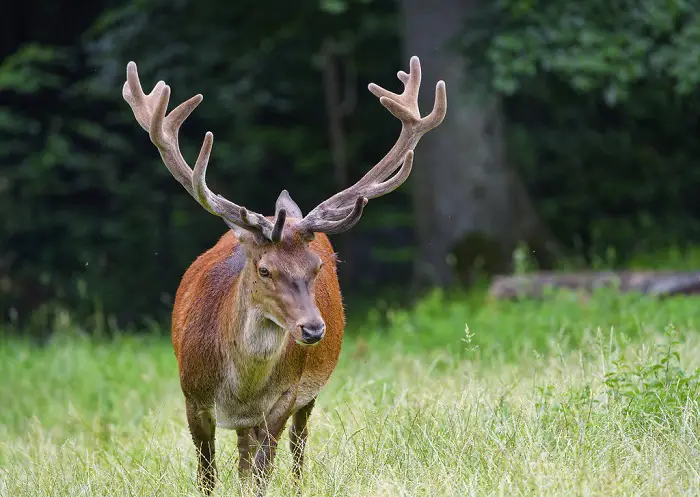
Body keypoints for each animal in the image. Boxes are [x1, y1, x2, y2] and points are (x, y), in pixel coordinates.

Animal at [122, 56, 446, 494]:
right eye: (264, 269)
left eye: (317, 267)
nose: (312, 329)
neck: (238, 389)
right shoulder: (192, 397)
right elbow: (207, 477)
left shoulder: (284, 397)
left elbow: (263, 472)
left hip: (307, 394)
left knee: (296, 445)